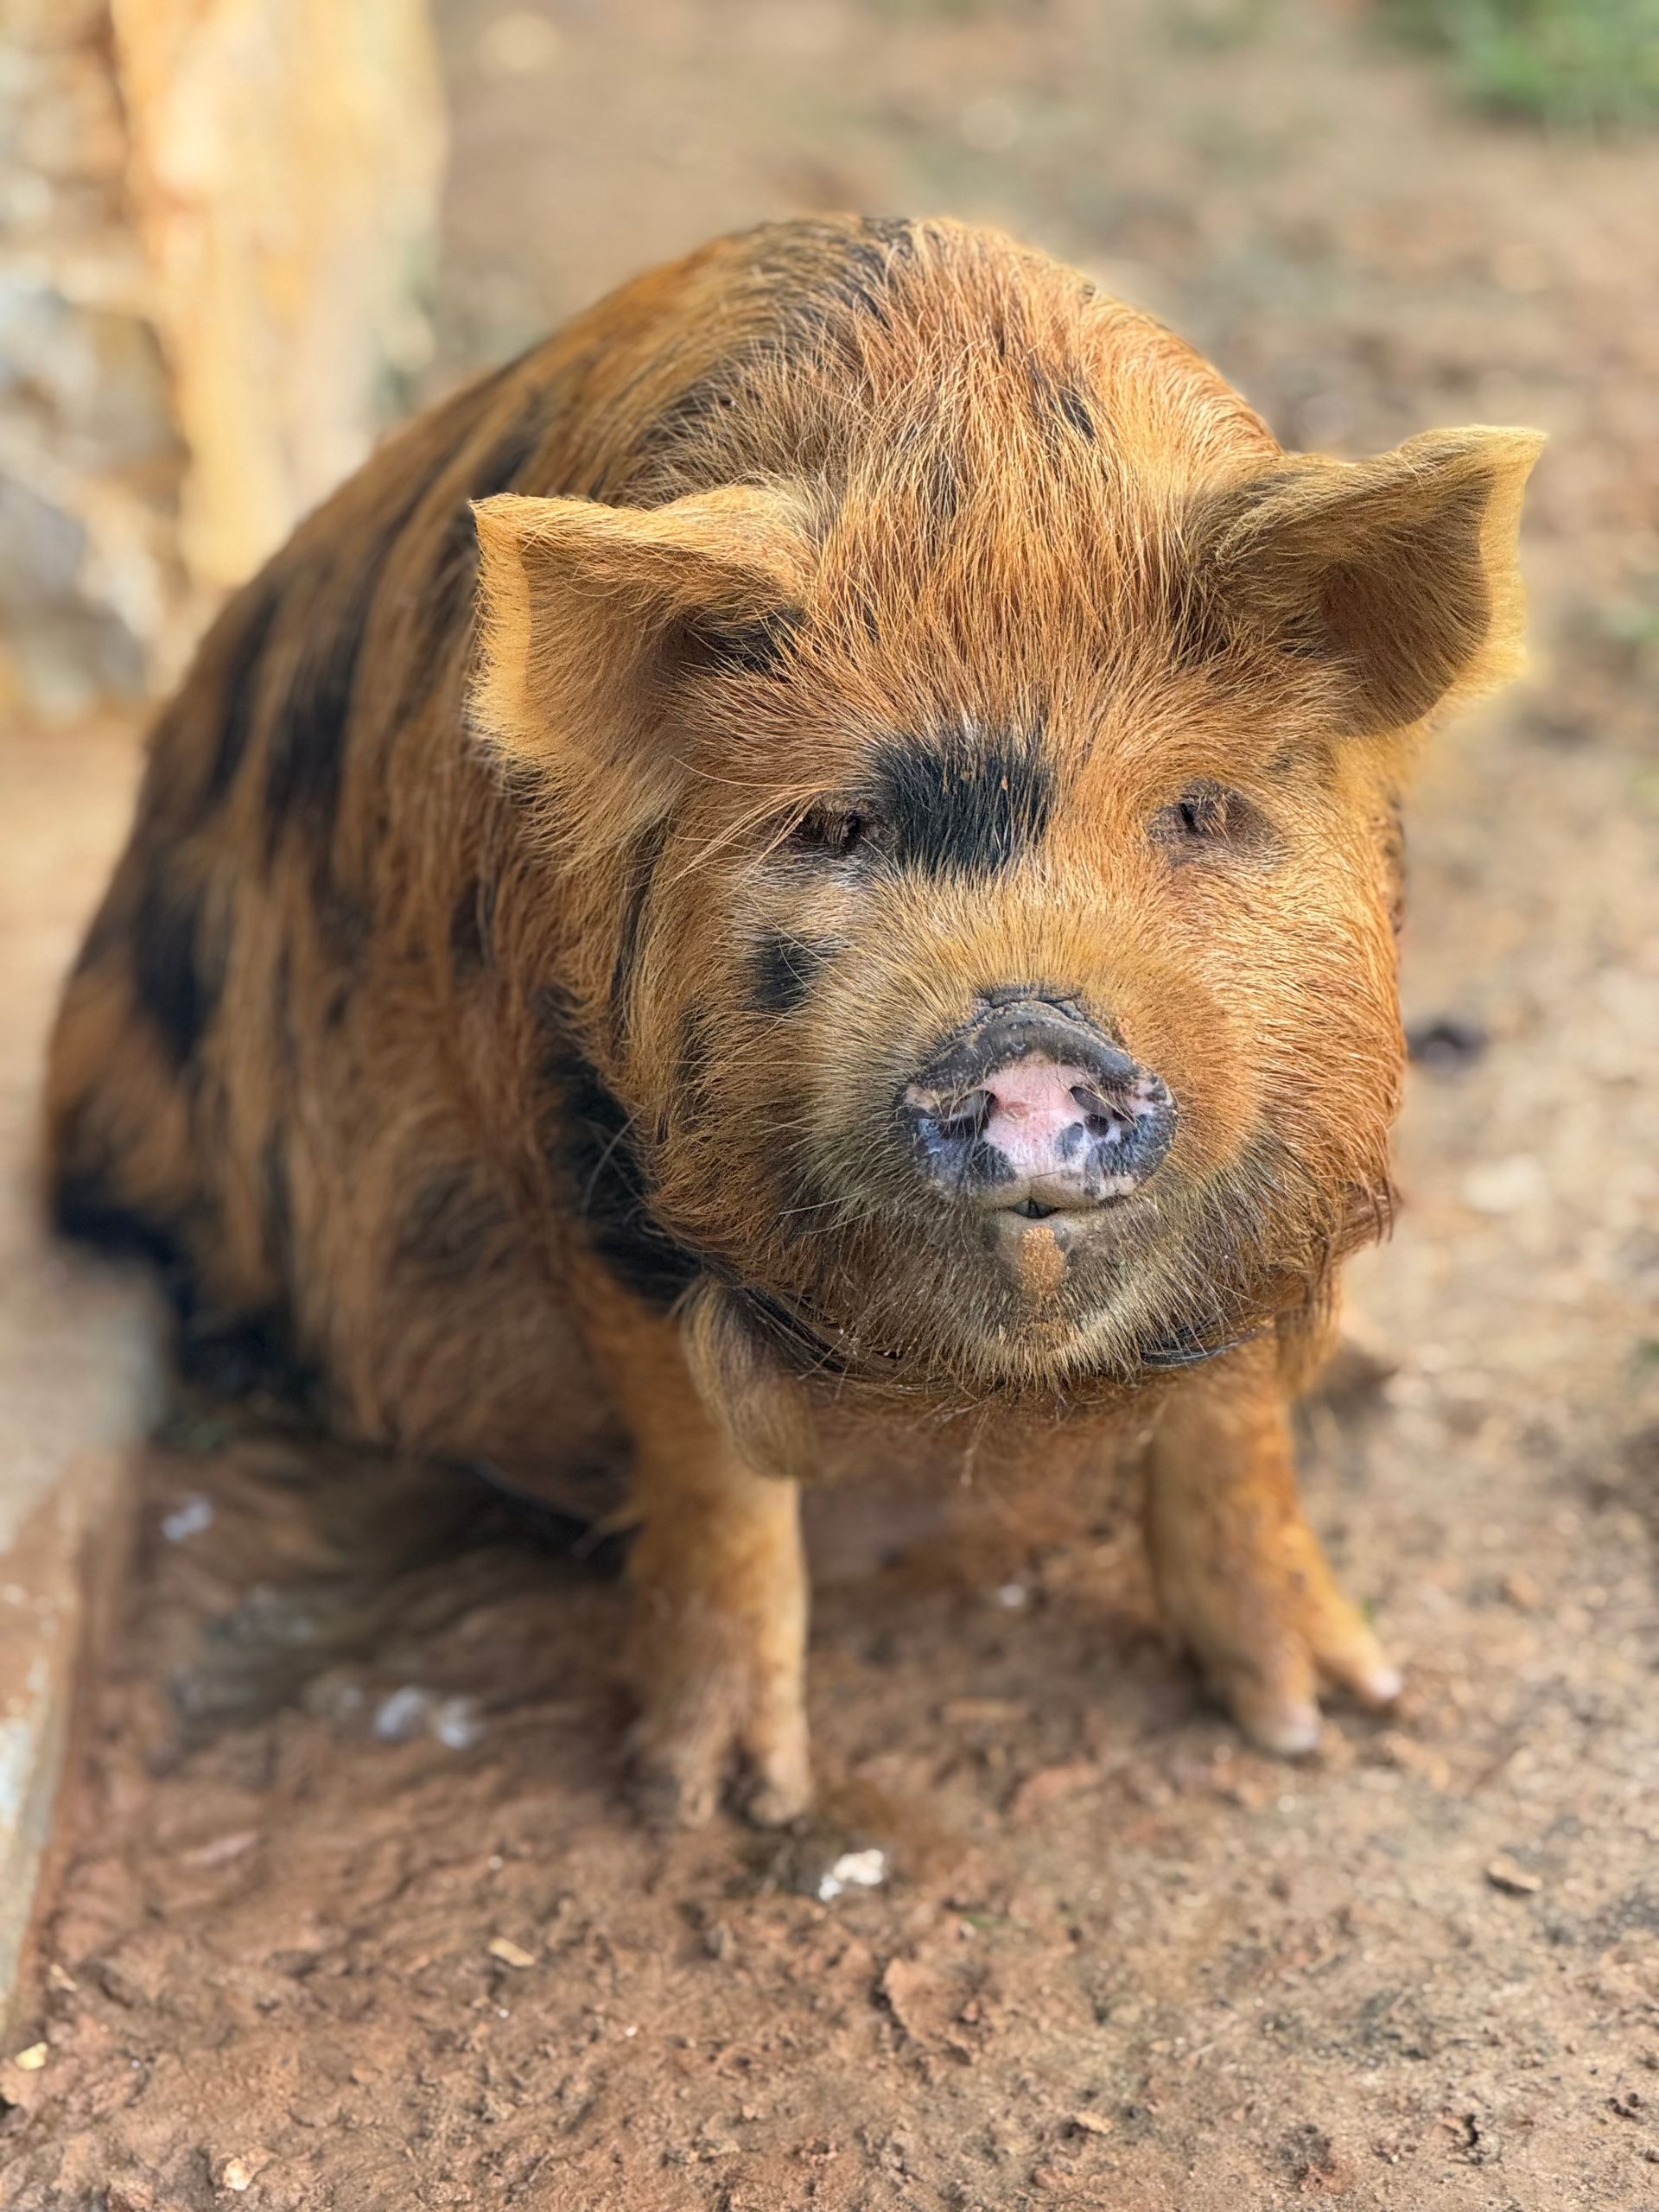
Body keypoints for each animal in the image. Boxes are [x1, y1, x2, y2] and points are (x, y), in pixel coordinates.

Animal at [47, 217, 1542, 1825]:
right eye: (833, 825)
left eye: (1199, 811)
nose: (1028, 1041)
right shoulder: (581, 1150)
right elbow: (708, 1467)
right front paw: (707, 1802)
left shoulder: (1292, 1171)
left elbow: (1233, 1415)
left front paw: (1325, 1718)